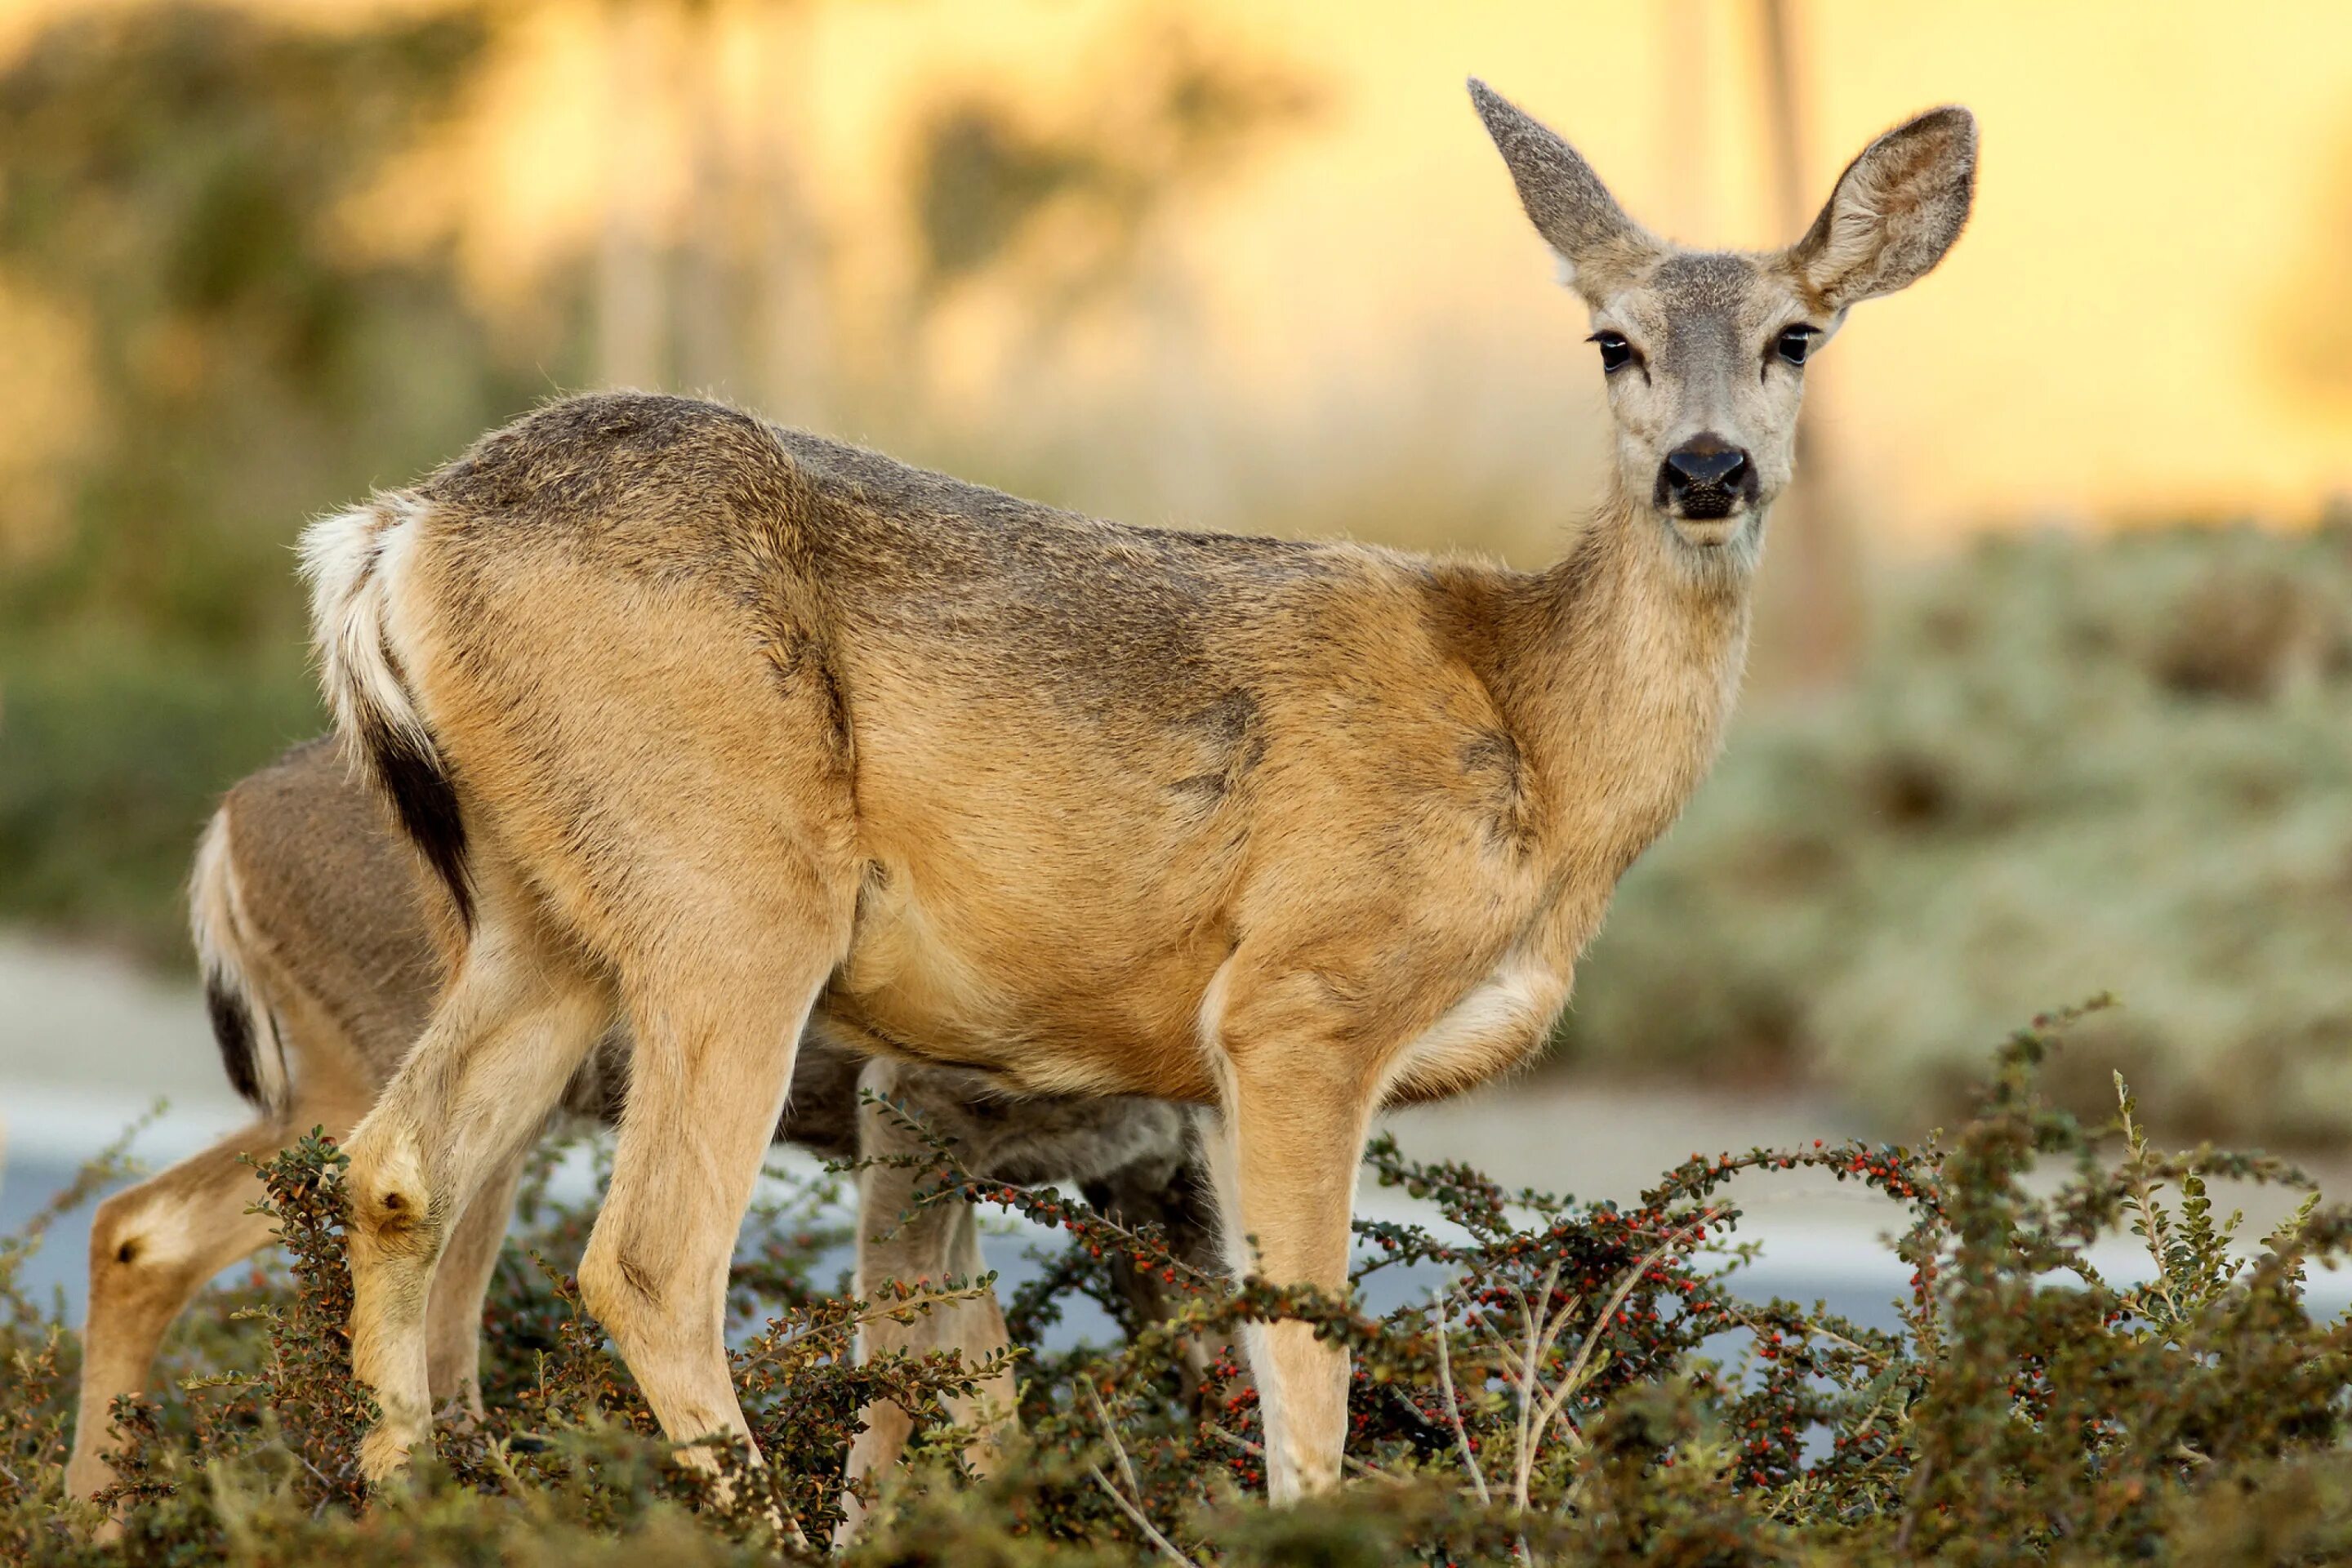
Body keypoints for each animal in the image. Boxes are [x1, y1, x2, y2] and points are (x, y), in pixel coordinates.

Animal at [64, 737, 1223, 1532]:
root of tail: (228, 825)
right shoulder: (914, 1108)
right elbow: (916, 1383)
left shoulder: (1151, 1188)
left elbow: (1035, 1393)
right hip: (397, 1069)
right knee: (413, 1320)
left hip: (337, 1084)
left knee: (141, 1228)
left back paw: (93, 1523)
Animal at [294, 79, 1976, 1504]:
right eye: (1611, 341)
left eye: (1797, 338)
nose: (1706, 472)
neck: (1538, 744)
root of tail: (397, 531)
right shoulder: (1301, 999)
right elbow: (1303, 1354)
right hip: (734, 890)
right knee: (646, 1258)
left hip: (542, 911)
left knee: (395, 1171)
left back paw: (410, 1499)